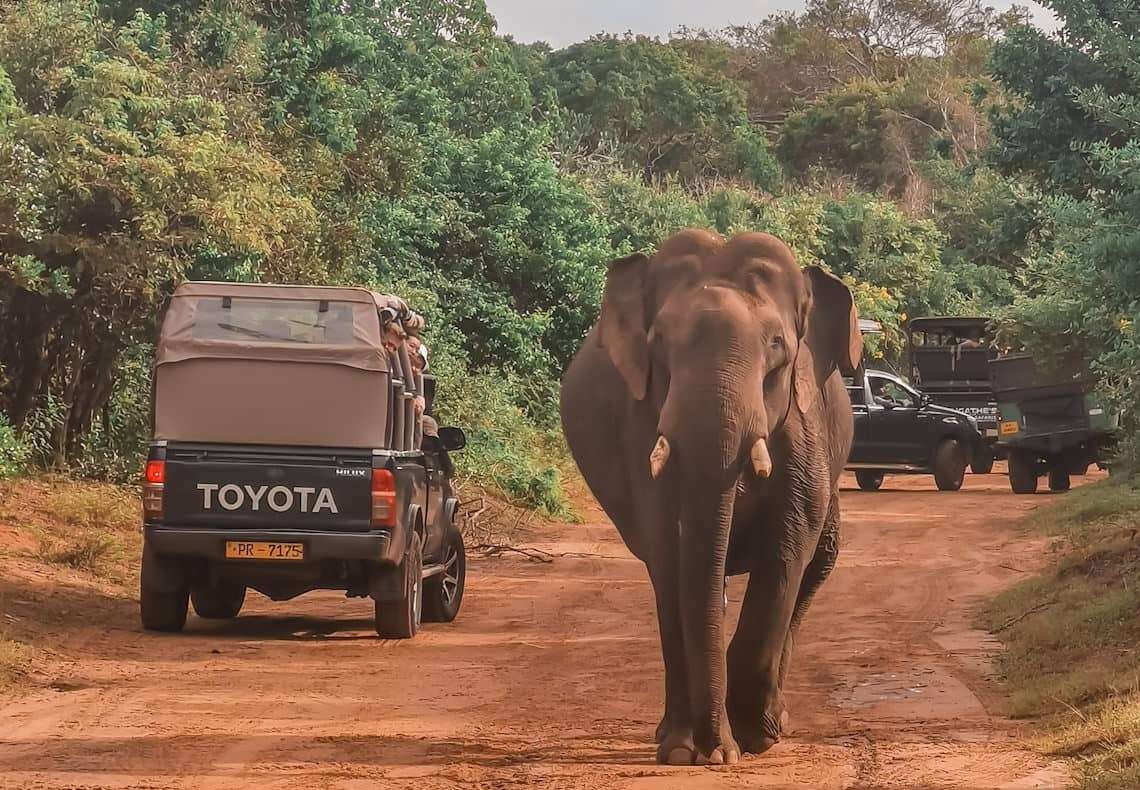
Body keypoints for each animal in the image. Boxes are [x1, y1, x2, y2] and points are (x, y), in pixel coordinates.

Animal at [560, 229, 861, 765]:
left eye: (777, 345)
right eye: (659, 344)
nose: (711, 750)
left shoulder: (803, 426)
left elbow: (787, 548)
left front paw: (752, 739)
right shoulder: (642, 425)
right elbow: (670, 550)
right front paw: (687, 752)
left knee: (818, 562)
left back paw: (772, 721)